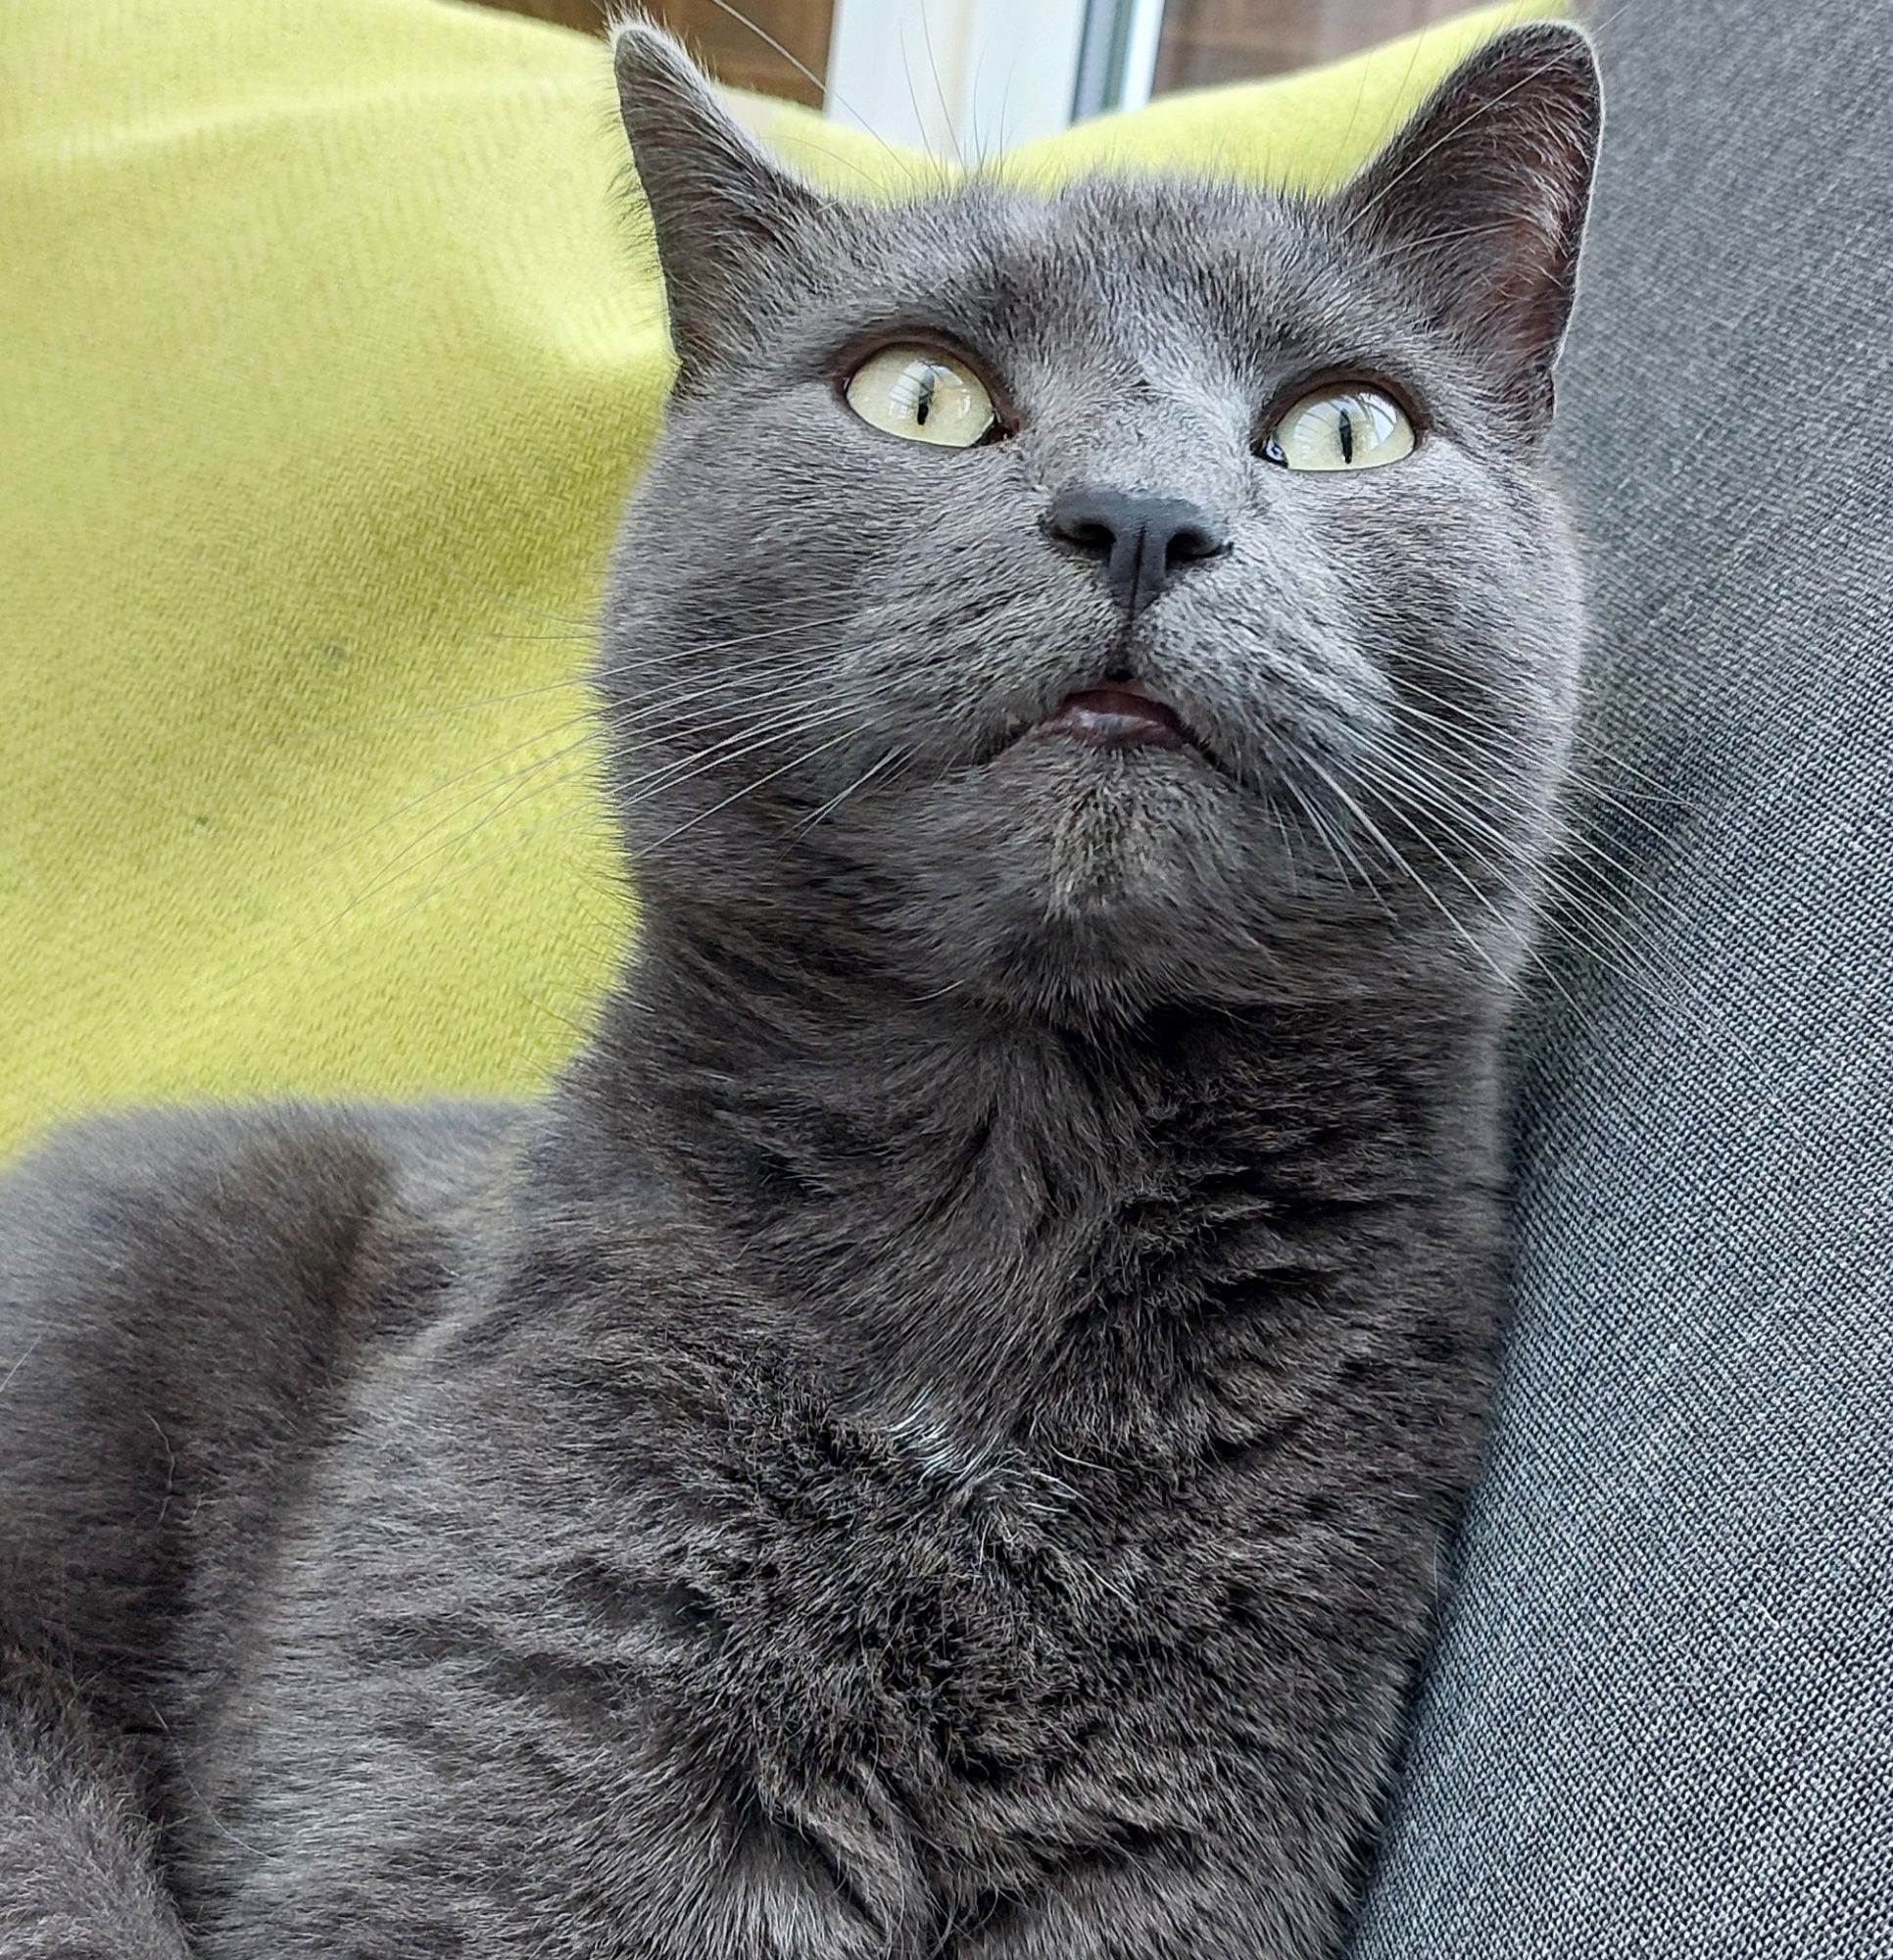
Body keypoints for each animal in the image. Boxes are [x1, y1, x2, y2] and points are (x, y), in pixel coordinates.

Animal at [0, 19, 1599, 1960]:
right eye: (919, 395)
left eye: (1341, 426)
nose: (1142, 515)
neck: (1020, 1169)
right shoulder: (528, 1724)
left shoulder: (1190, 1826)